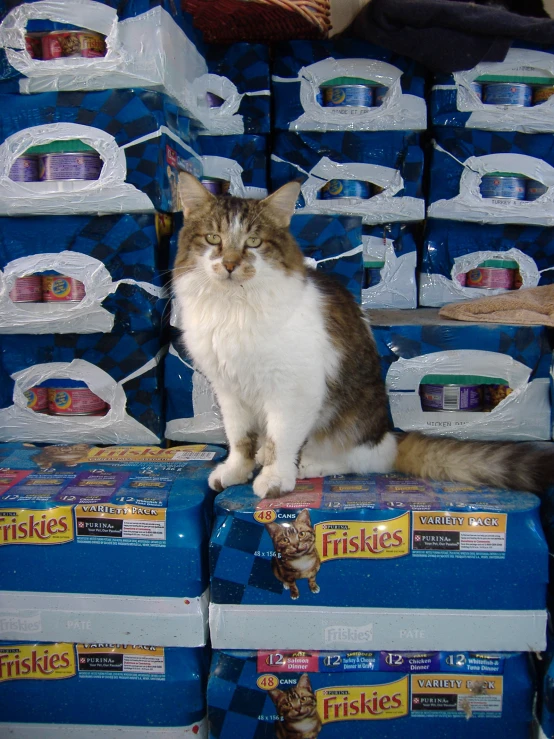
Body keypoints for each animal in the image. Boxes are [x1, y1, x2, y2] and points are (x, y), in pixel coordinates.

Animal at [172, 173, 552, 498]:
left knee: (358, 461)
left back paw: (308, 466)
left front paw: (276, 478)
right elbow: (240, 440)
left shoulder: (292, 389)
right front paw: (236, 470)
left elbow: (282, 438)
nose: (230, 264)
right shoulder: (229, 389)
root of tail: (389, 436)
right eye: (213, 239)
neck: (233, 308)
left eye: (253, 242)